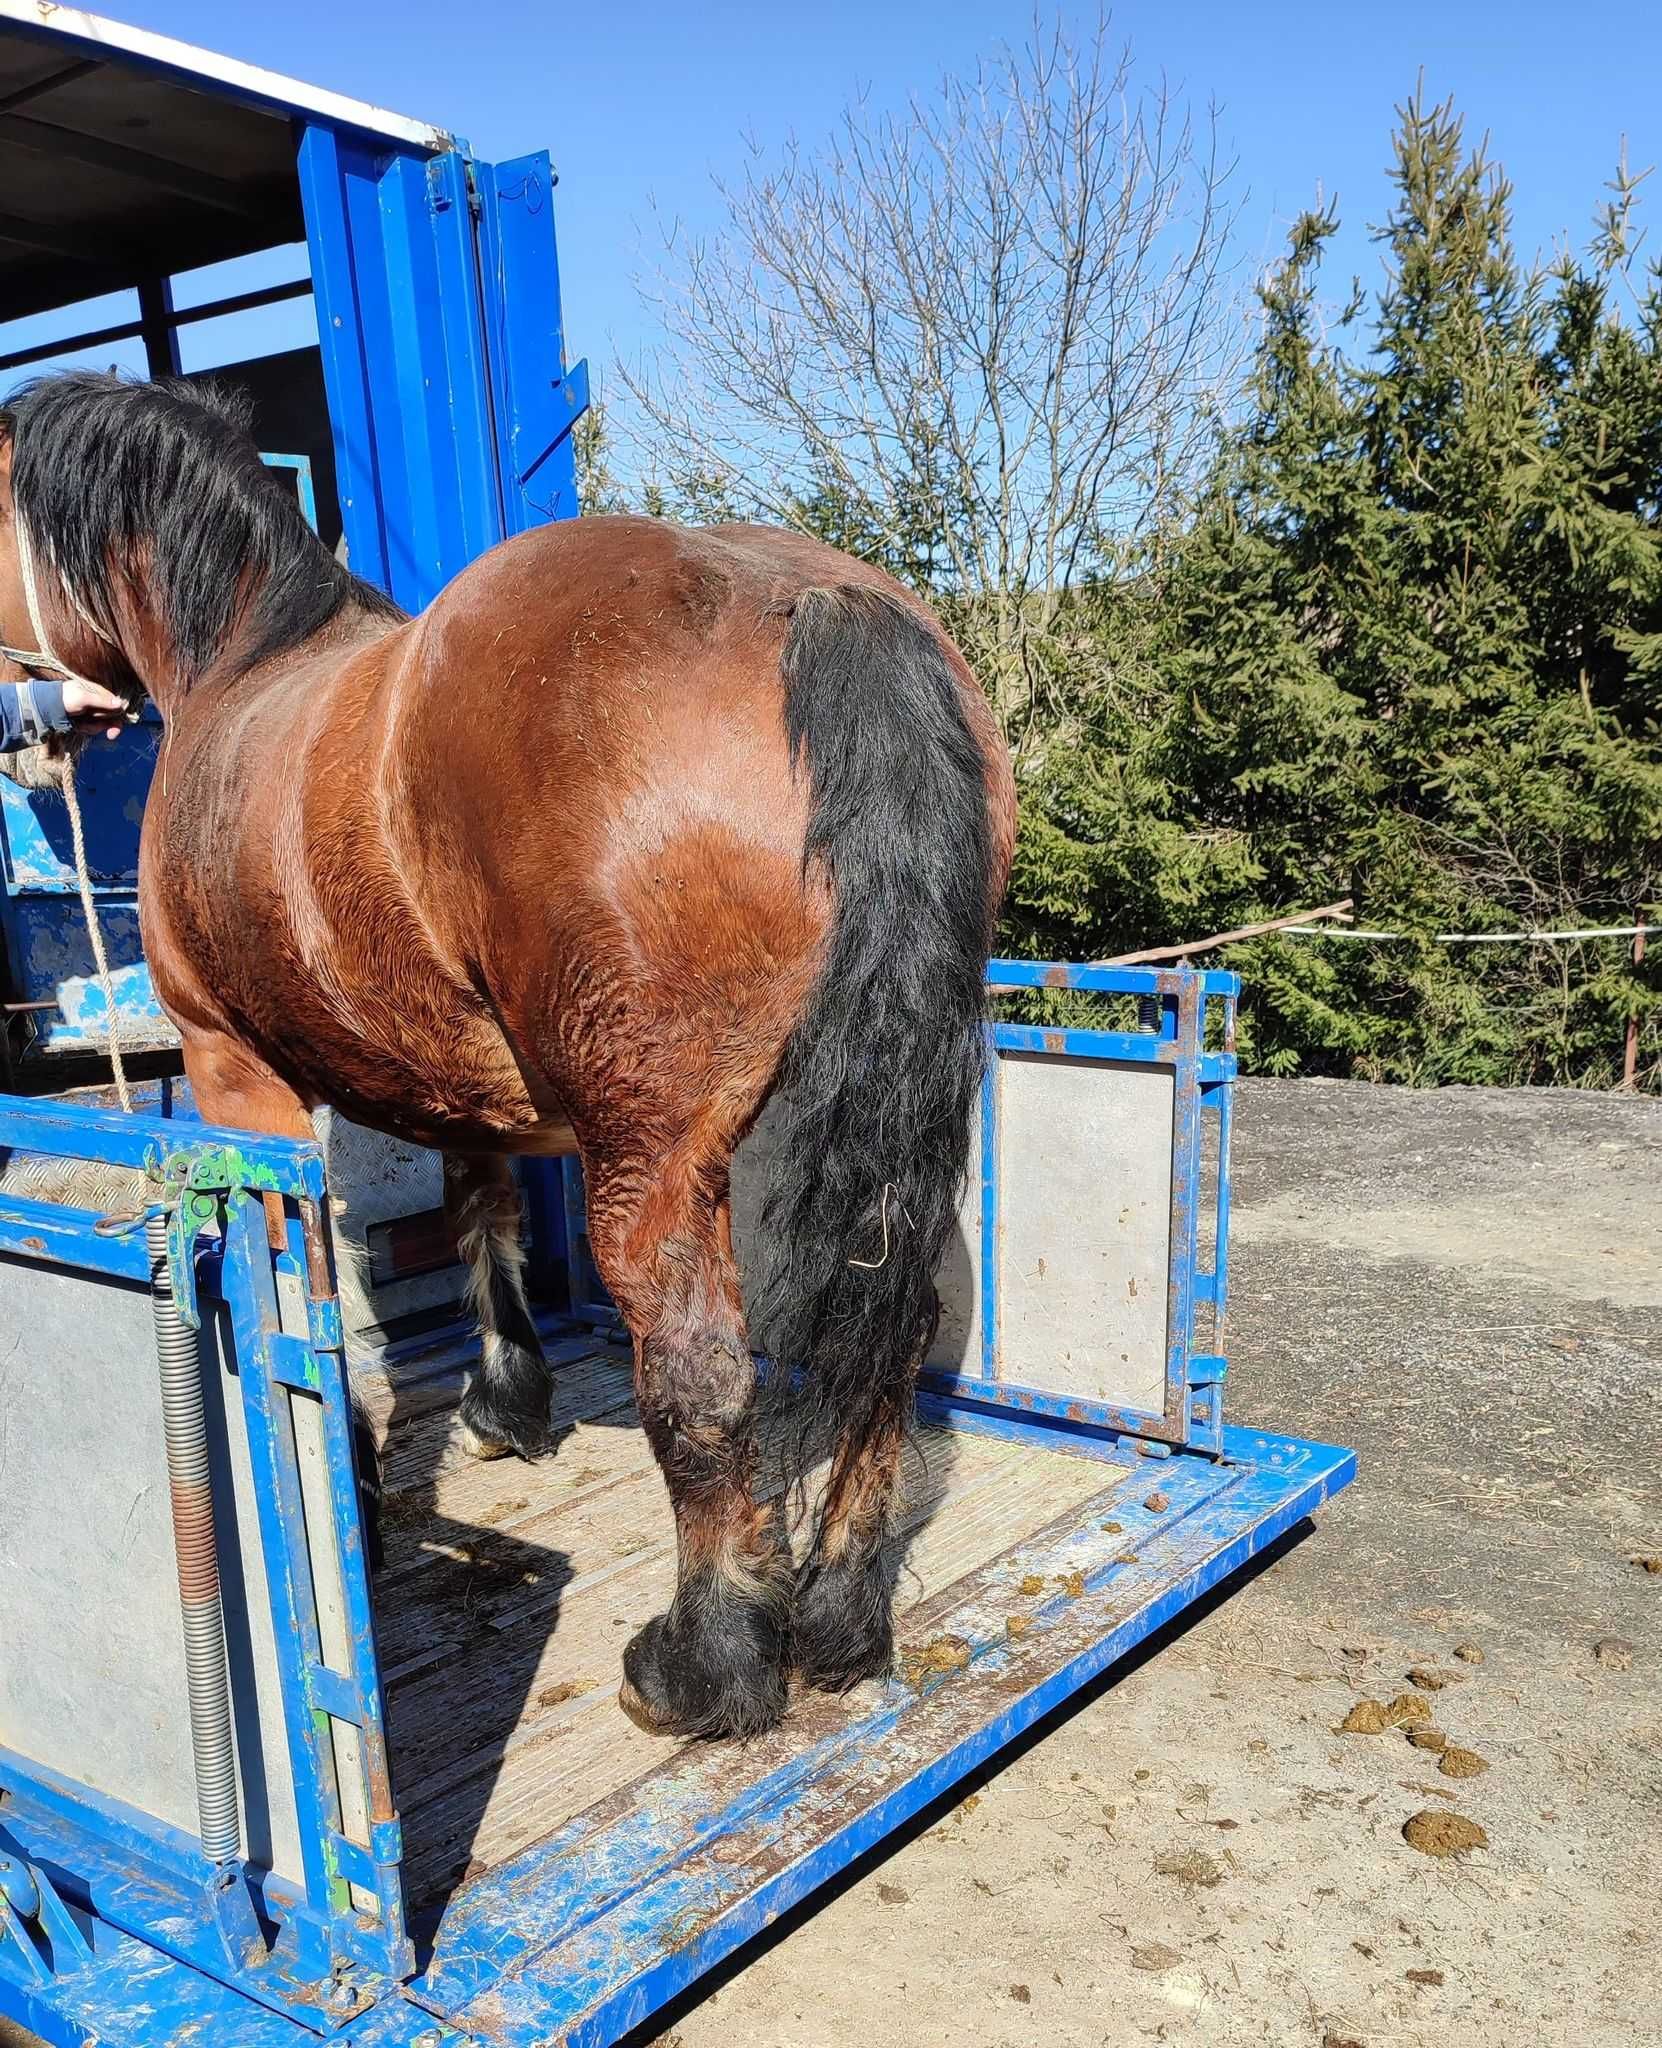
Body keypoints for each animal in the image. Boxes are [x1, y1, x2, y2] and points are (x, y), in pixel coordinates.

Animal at [0, 372, 1019, 1744]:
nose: (30, 733)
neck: (244, 660)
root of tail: (813, 601)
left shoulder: (233, 1071)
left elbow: (301, 1273)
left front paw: (353, 1478)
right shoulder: (459, 1079)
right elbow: (481, 1210)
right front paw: (505, 1395)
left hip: (655, 1156)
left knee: (701, 1370)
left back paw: (706, 1663)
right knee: (890, 1330)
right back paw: (842, 1621)